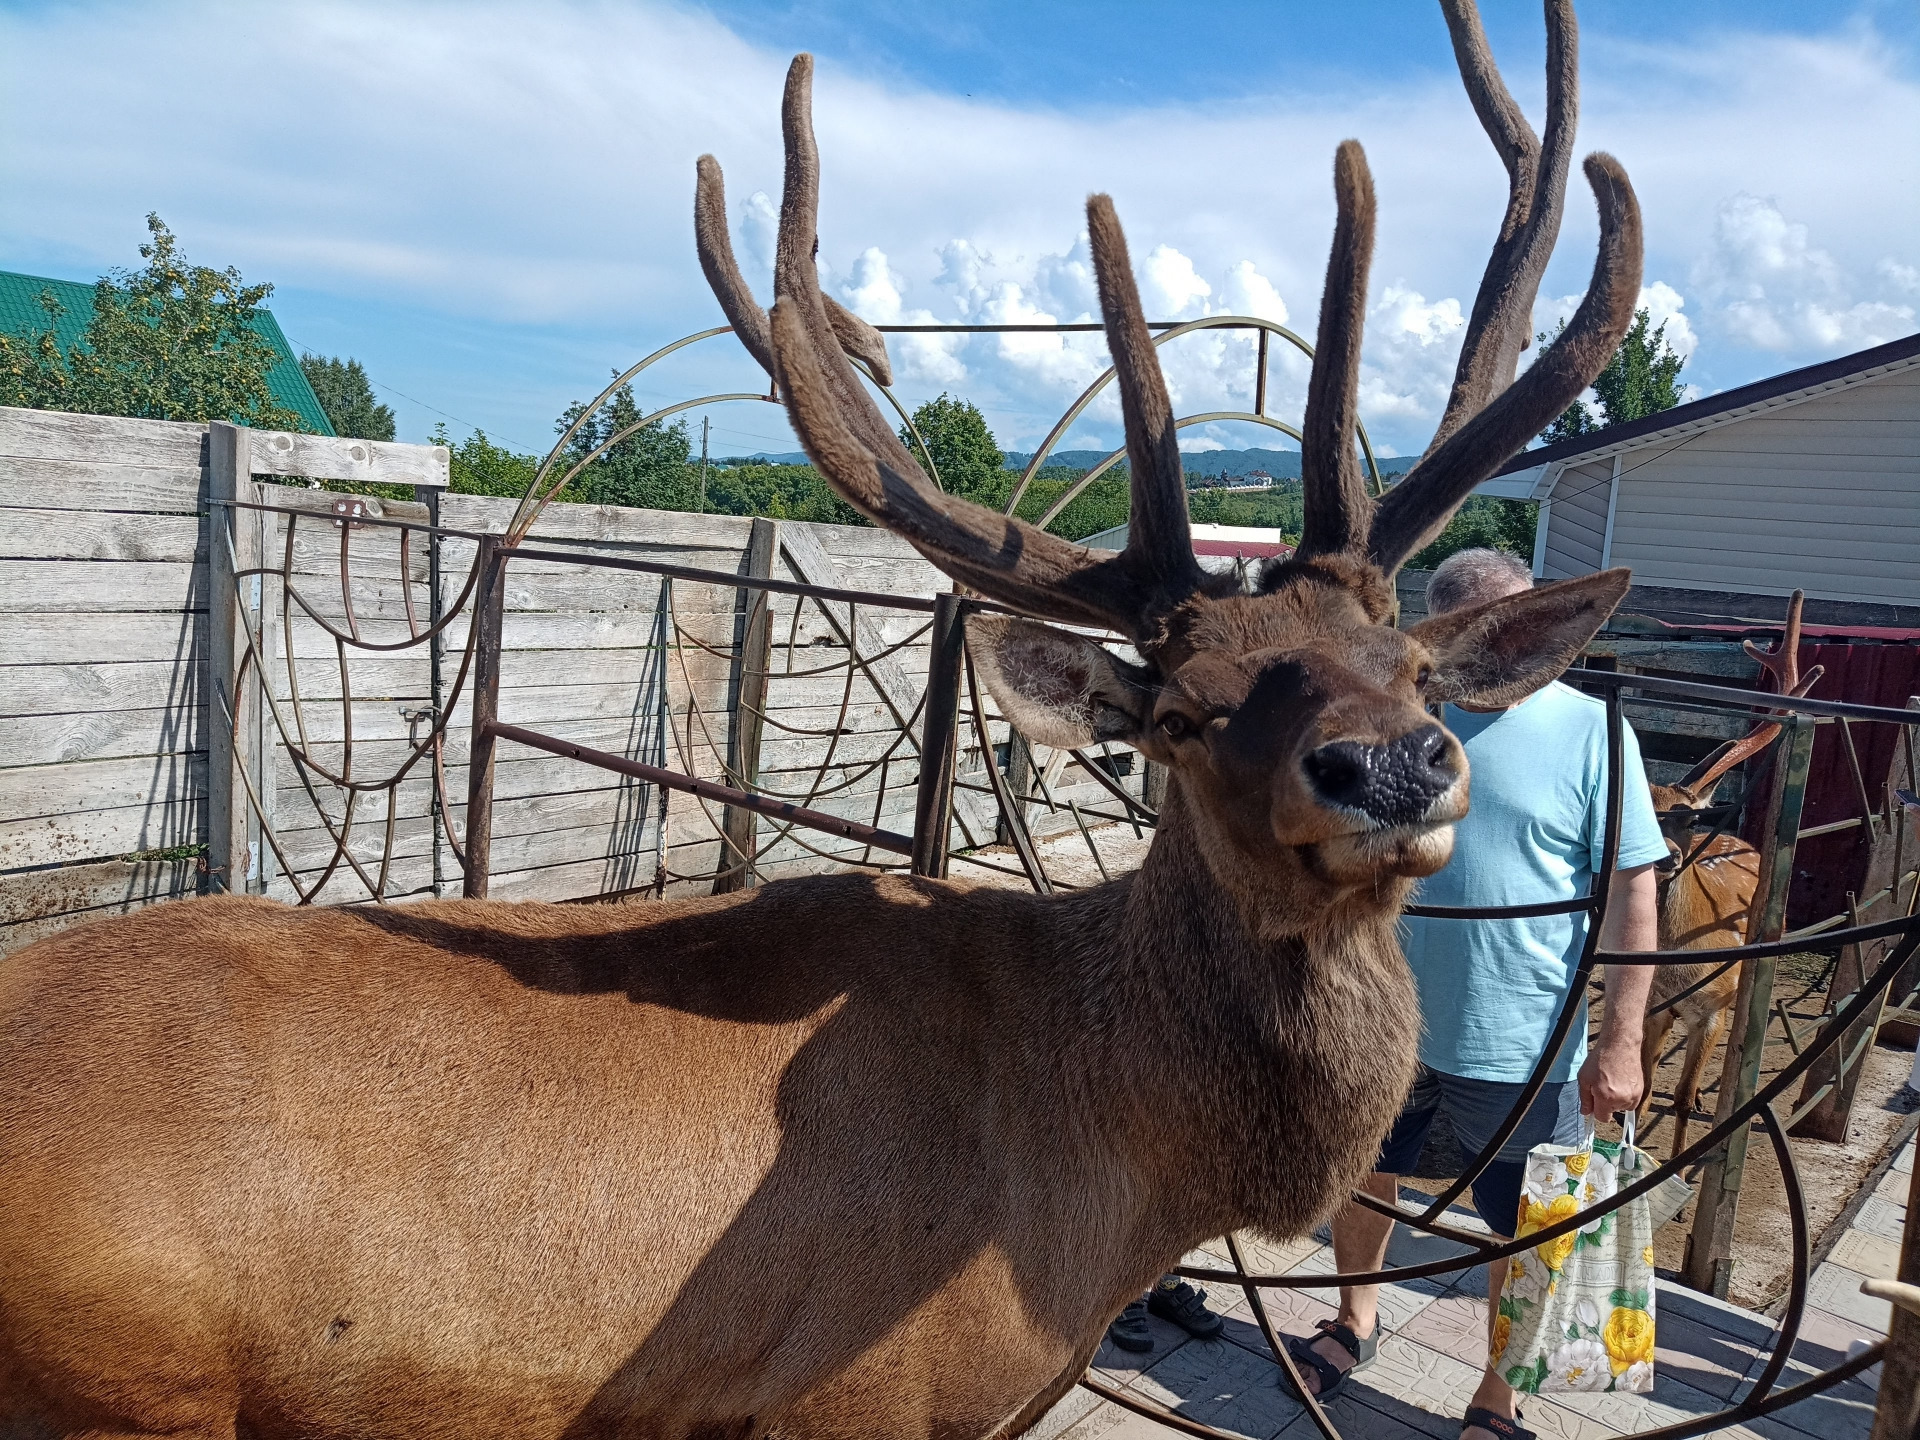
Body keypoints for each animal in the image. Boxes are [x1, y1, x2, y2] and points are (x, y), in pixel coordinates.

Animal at [0, 5, 1651, 1436]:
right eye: (1182, 713)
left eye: (1417, 669)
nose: (1387, 767)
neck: (1121, 1179)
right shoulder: (855, 1393)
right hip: (126, 1386)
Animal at [1643, 587, 1820, 1159]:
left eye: (1691, 817)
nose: (1668, 859)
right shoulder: (1655, 1003)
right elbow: (1644, 1084)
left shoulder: (1712, 1008)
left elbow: (1677, 1098)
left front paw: (1677, 1170)